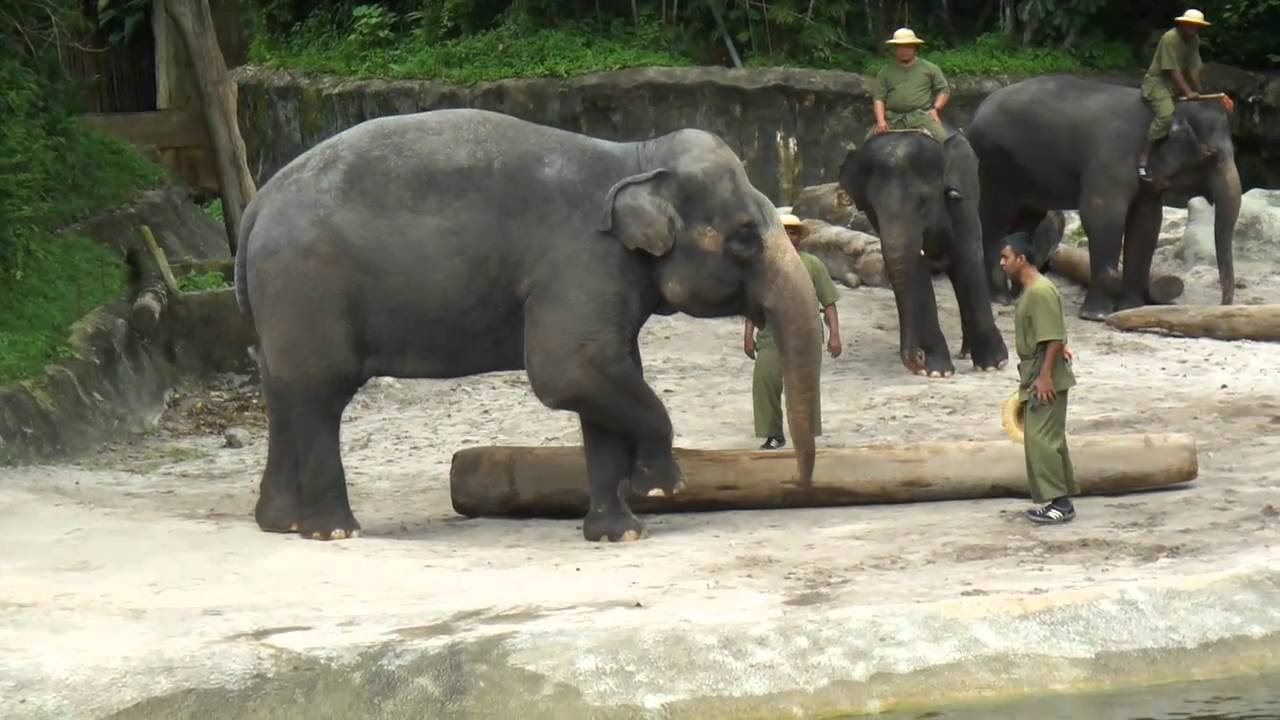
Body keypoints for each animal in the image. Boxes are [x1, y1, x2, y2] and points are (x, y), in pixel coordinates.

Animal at [233, 108, 823, 543]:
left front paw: (619, 534)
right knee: (319, 395)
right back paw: (333, 531)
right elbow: (569, 373)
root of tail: (256, 205)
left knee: (282, 390)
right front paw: (662, 487)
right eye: (743, 235)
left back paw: (279, 523)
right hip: (307, 286)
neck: (637, 155)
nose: (797, 484)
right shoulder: (580, 265)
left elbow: (604, 377)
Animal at [837, 127, 1009, 377]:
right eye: (873, 209)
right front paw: (936, 371)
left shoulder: (963, 202)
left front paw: (994, 364)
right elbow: (915, 269)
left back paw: (967, 353)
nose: (918, 356)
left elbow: (967, 256)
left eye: (924, 203)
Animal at [967, 74, 1242, 319]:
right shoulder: (1109, 162)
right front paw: (1096, 315)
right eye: (1211, 155)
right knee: (993, 221)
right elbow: (1102, 217)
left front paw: (1130, 308)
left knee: (1026, 220)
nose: (1222, 304)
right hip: (992, 167)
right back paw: (1000, 298)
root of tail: (975, 113)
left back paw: (1020, 295)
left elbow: (1147, 223)